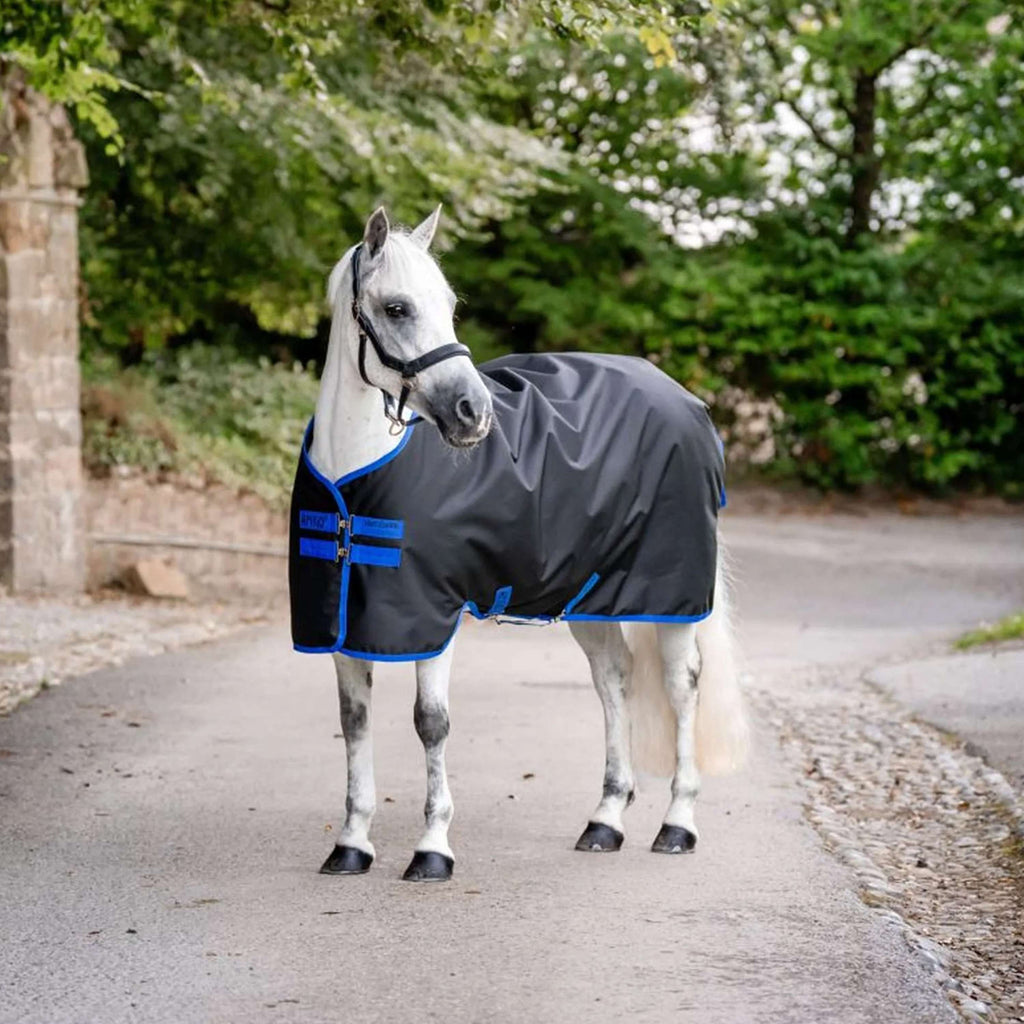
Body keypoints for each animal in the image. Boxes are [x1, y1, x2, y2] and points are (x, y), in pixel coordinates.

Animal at [291, 205, 749, 882]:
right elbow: (355, 724)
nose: (473, 413)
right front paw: (352, 844)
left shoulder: (435, 617)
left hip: (671, 596)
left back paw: (677, 824)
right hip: (591, 597)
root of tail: (688, 401)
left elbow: (431, 723)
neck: (355, 479)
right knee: (614, 680)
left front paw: (433, 849)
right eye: (397, 307)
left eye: (450, 304)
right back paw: (605, 821)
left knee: (681, 684)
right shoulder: (346, 623)